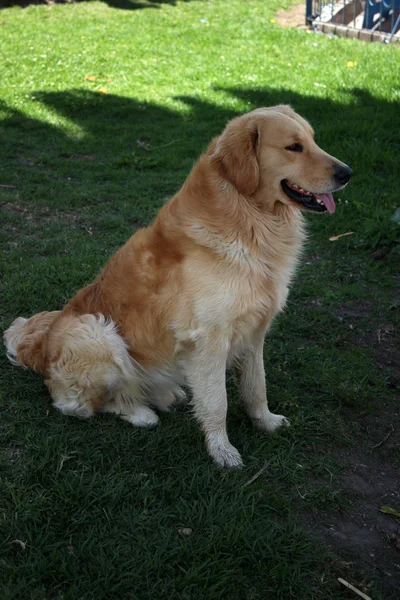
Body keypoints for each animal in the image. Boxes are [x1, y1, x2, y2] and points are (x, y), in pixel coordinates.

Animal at [4, 106, 352, 468]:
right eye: (293, 147)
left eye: (313, 140)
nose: (348, 173)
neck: (249, 217)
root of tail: (40, 347)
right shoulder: (208, 340)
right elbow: (217, 402)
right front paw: (221, 450)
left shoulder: (255, 332)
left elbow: (257, 387)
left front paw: (266, 422)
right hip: (95, 333)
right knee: (82, 406)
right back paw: (140, 413)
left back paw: (165, 394)